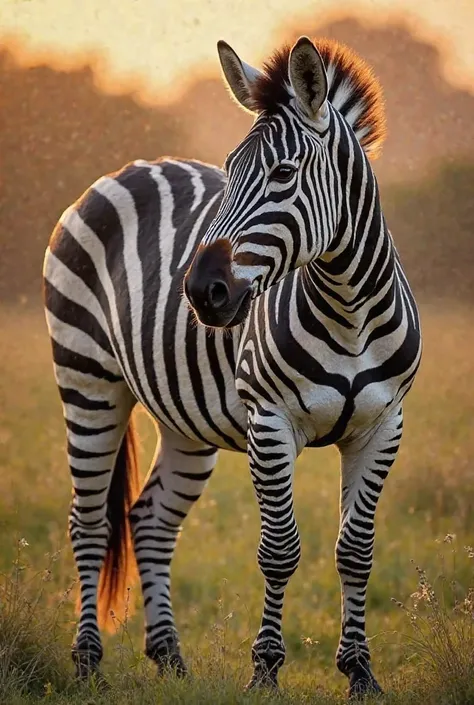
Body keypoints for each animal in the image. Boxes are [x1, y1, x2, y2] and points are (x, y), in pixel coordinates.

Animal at [43, 34, 422, 692]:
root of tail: (126, 169)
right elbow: (280, 550)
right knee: (89, 524)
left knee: (149, 520)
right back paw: (88, 661)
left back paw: (170, 659)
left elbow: (356, 550)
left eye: (283, 174)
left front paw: (360, 673)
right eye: (231, 169)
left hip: (185, 418)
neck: (349, 309)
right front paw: (266, 671)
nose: (200, 291)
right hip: (87, 380)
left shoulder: (383, 426)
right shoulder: (269, 422)